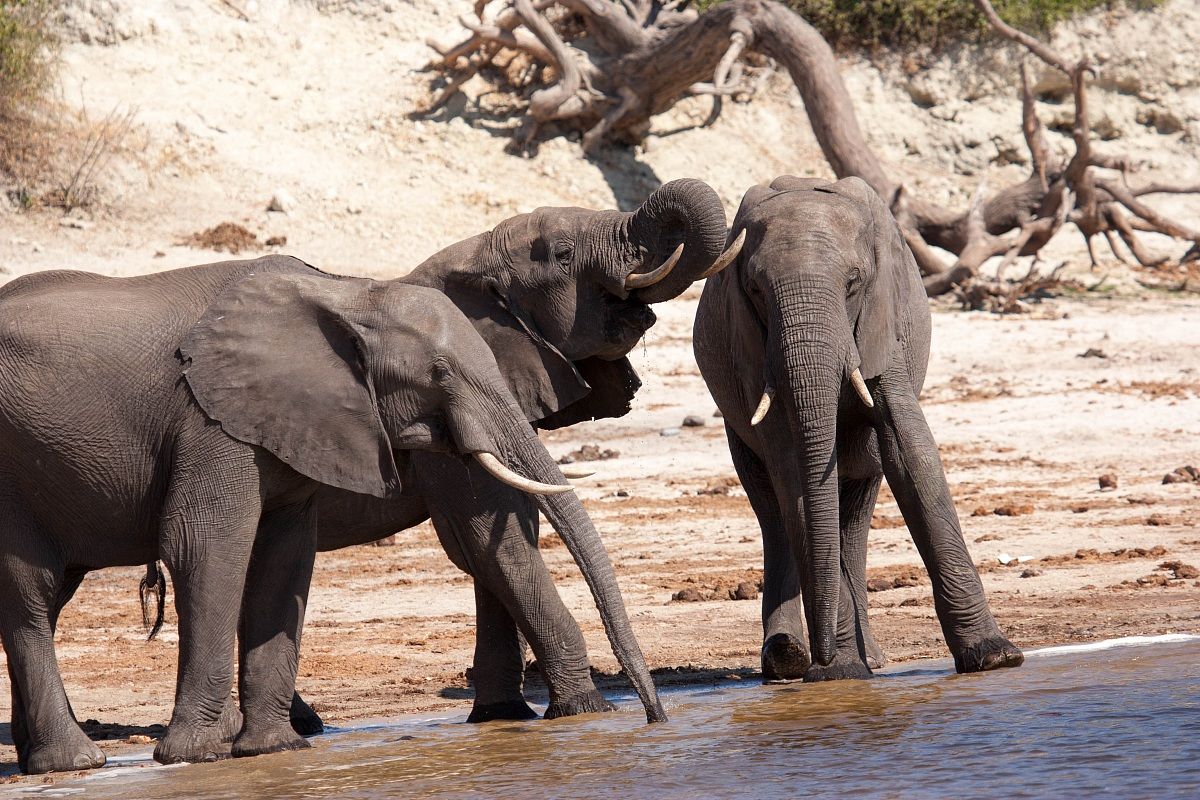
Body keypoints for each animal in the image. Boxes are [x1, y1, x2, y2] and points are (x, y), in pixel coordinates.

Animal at [0, 254, 665, 775]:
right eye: (439, 372)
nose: (654, 717)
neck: (347, 294)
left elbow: (286, 554)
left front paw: (273, 751)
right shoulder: (210, 420)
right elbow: (206, 543)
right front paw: (196, 756)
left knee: (42, 601)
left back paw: (41, 761)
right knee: (29, 596)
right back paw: (75, 761)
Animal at [693, 176, 1024, 681]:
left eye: (853, 284)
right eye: (754, 289)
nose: (826, 658)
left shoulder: (882, 327)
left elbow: (912, 454)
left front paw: (995, 657)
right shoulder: (751, 352)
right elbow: (795, 480)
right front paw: (840, 675)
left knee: (856, 509)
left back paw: (867, 660)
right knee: (772, 510)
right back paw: (788, 660)